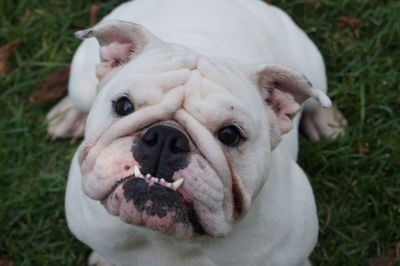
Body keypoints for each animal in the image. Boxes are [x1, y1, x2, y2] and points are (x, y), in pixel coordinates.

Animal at [47, 1, 346, 264]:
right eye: (124, 106)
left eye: (230, 134)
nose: (165, 138)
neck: (169, 240)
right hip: (81, 84)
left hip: (311, 68)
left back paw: (327, 122)